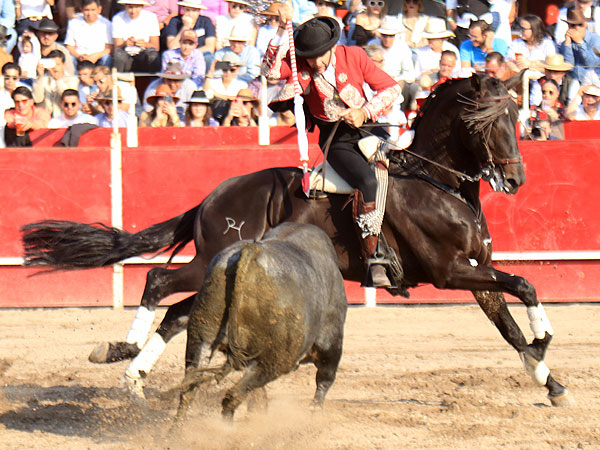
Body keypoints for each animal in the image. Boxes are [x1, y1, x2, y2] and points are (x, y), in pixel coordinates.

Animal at [173, 222, 346, 422]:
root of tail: (251, 251)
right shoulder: (330, 342)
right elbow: (325, 379)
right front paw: (315, 412)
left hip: (200, 339)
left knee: (189, 389)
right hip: (276, 360)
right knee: (233, 396)